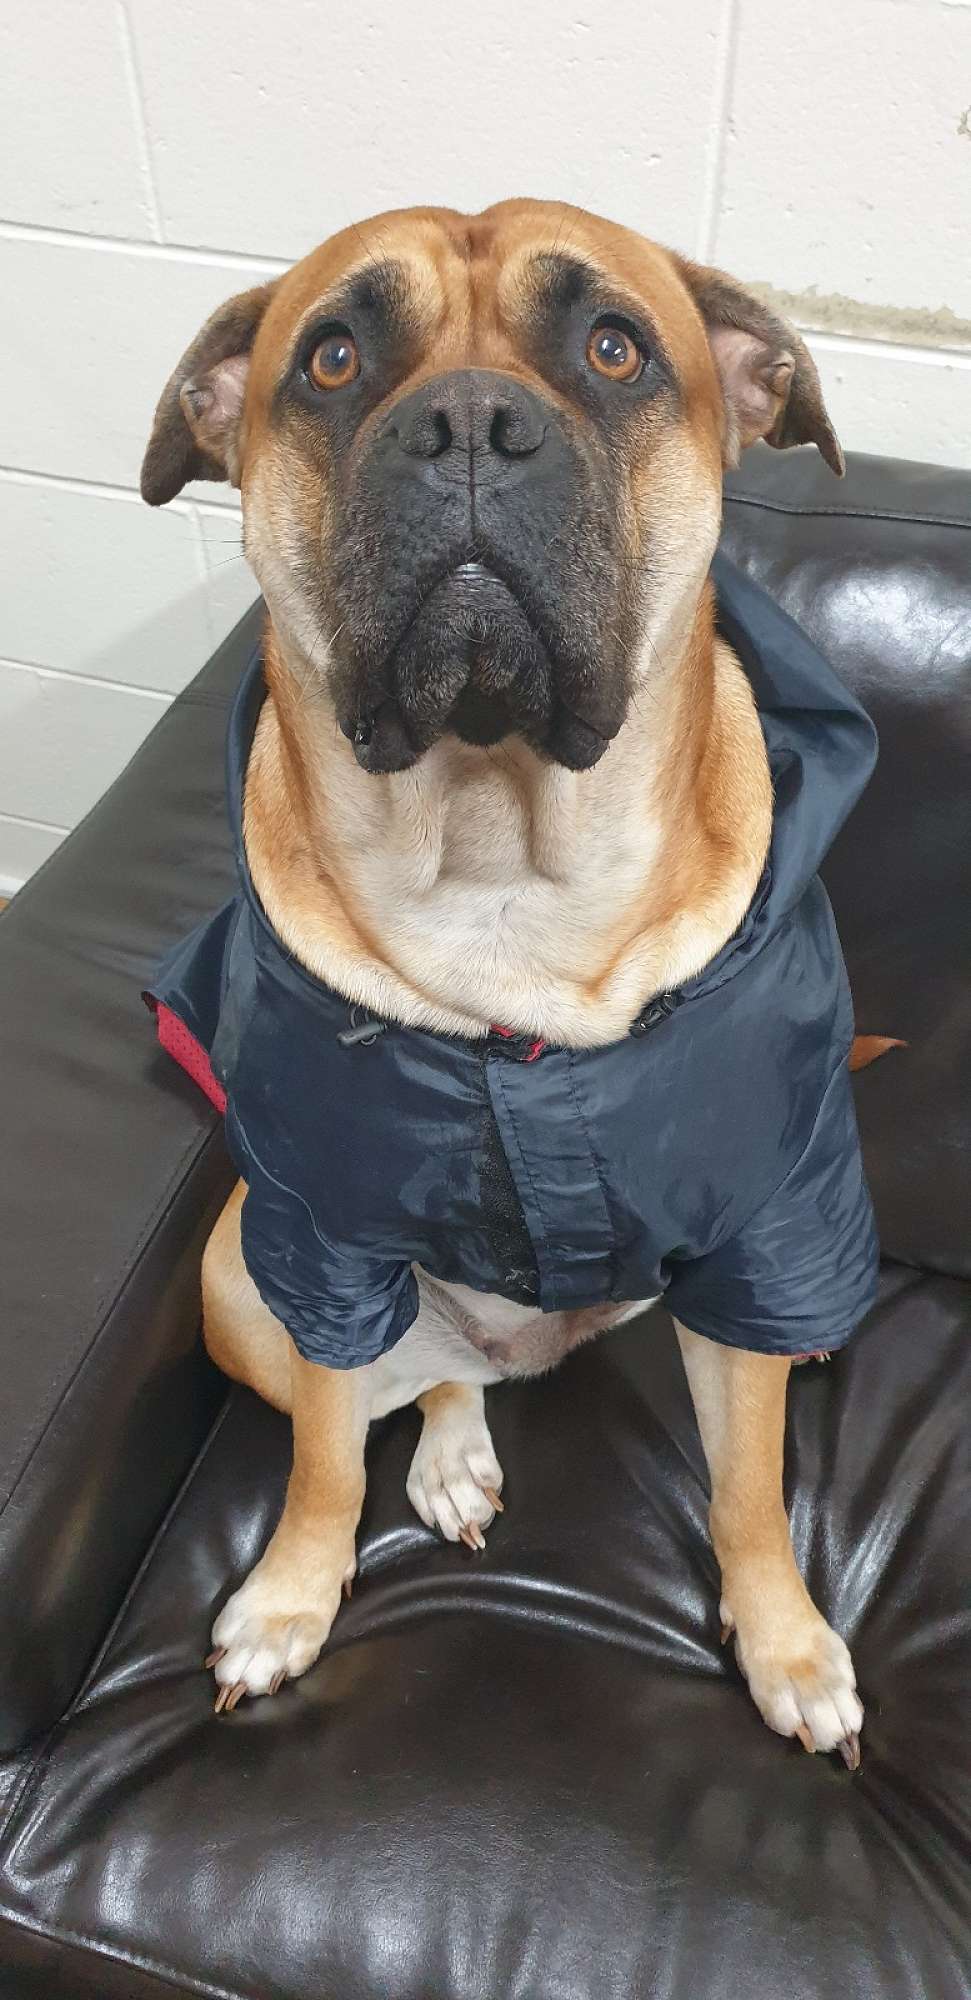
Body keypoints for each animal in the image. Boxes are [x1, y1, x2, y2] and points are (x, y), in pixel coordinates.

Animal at [142, 200, 879, 1767]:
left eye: (611, 348)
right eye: (332, 358)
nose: (470, 423)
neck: (497, 860)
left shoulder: (767, 1212)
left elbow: (744, 1486)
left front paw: (784, 1638)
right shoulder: (316, 1241)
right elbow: (318, 1457)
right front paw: (290, 1594)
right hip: (233, 1278)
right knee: (426, 1378)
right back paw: (450, 1452)